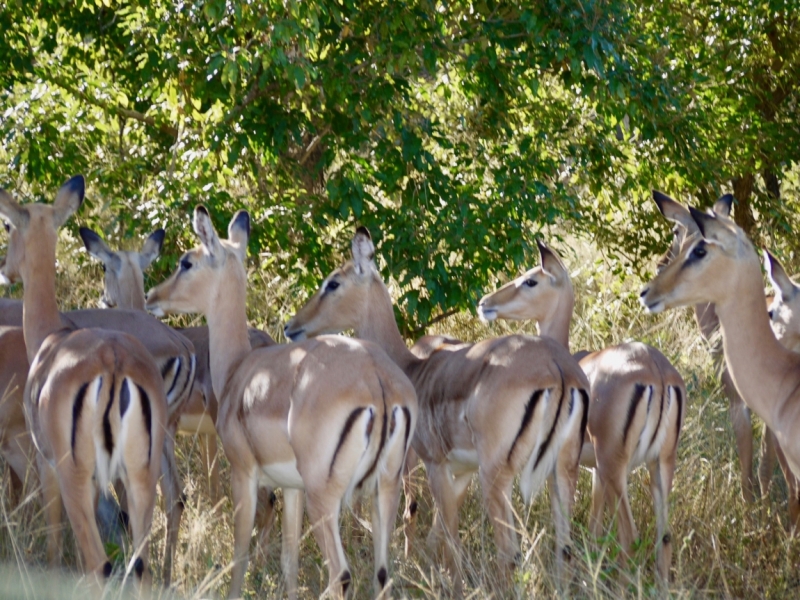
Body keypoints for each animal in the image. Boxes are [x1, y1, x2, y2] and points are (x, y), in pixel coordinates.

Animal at [0, 177, 166, 584]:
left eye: (8, 225)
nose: (4, 269)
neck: (50, 337)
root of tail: (114, 364)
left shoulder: (46, 463)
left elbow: (55, 540)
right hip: (140, 477)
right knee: (140, 566)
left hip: (75, 474)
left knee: (100, 564)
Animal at [146, 207, 416, 600]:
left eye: (187, 262)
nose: (152, 295)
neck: (239, 370)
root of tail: (377, 379)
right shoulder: (291, 487)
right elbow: (290, 561)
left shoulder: (244, 473)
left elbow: (239, 555)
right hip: (385, 490)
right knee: (382, 574)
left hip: (326, 498)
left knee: (341, 574)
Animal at [284, 225, 592, 592]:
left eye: (333, 283)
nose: (291, 326)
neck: (414, 368)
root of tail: (558, 369)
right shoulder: (459, 471)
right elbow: (444, 534)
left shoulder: (435, 464)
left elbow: (450, 537)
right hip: (563, 471)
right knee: (565, 547)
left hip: (495, 476)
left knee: (509, 553)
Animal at [478, 241, 684, 580]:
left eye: (530, 280)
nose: (485, 303)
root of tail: (657, 372)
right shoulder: (596, 472)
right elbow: (594, 530)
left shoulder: (584, 468)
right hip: (661, 463)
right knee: (664, 538)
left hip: (616, 465)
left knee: (630, 536)